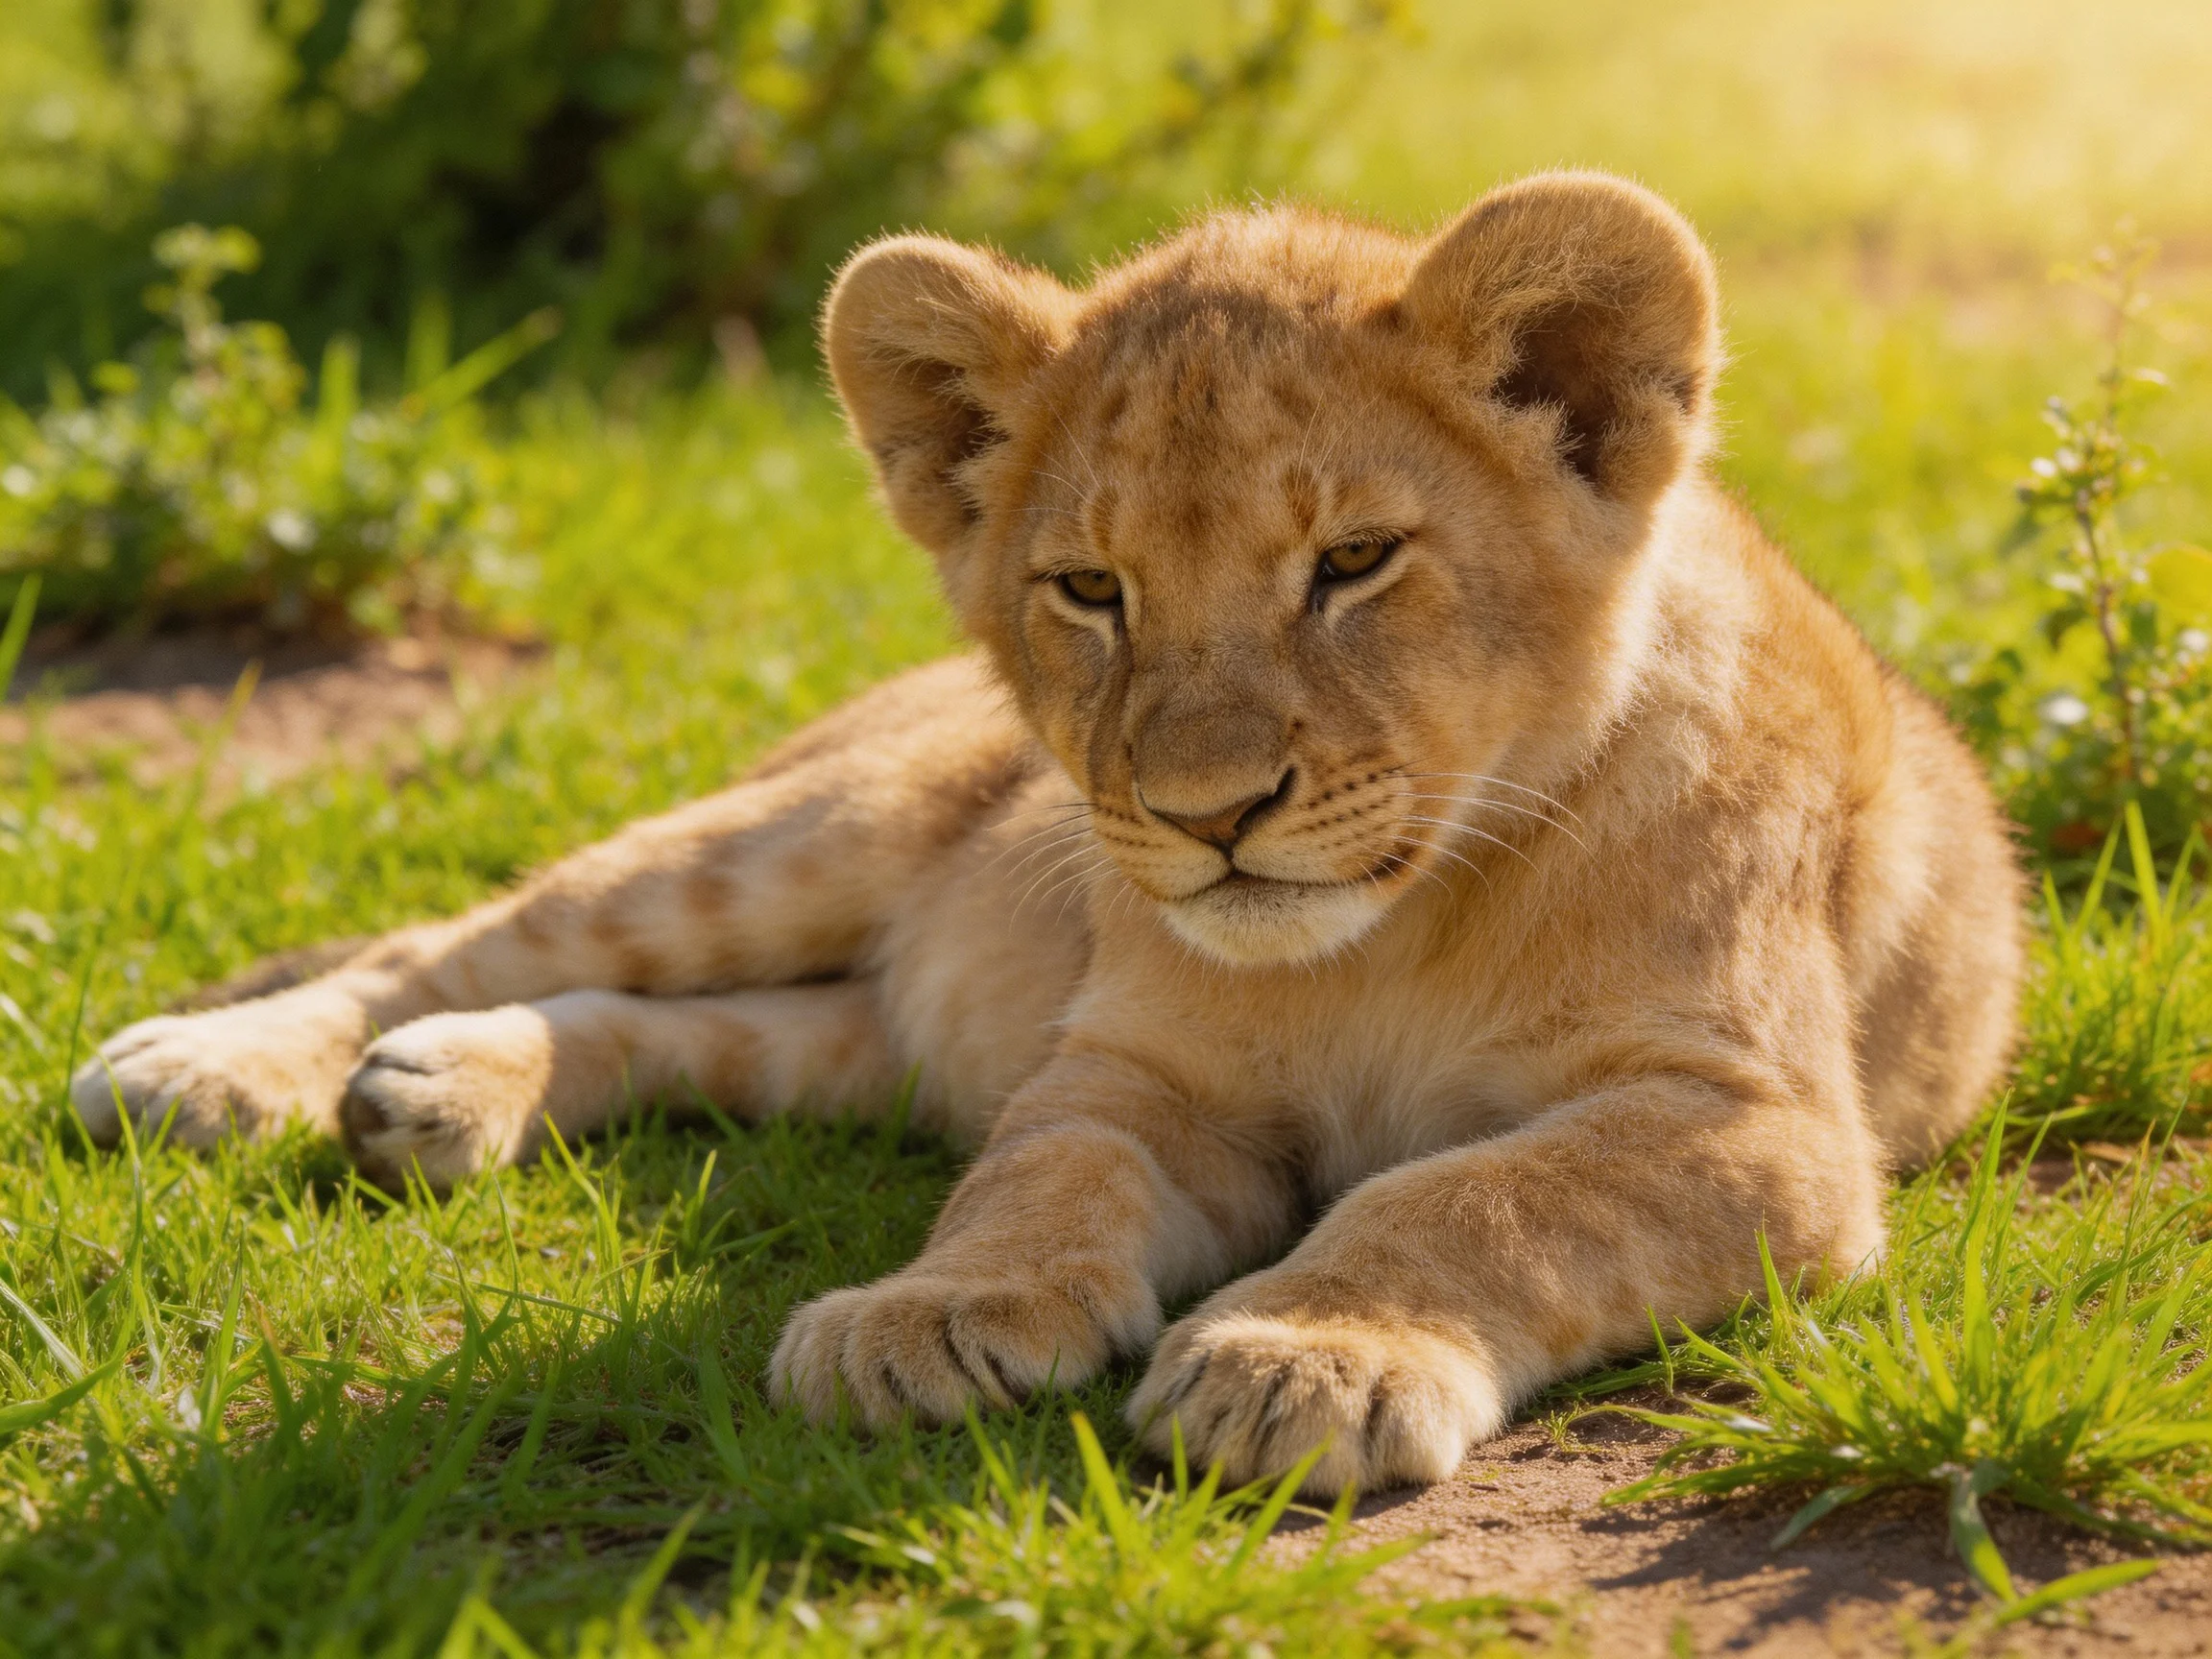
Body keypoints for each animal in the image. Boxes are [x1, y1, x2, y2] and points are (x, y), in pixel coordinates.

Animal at [68, 172, 2021, 1496]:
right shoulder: (1134, 1067)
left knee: (722, 1027)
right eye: (1091, 590)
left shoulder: (1759, 1126)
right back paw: (212, 1071)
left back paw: (434, 1095)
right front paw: (928, 1315)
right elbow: (1044, 1172)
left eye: (1352, 563)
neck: (1392, 936)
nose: (1205, 817)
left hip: (874, 1031)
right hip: (805, 835)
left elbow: (1470, 1191)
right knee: (467, 939)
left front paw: (1297, 1357)